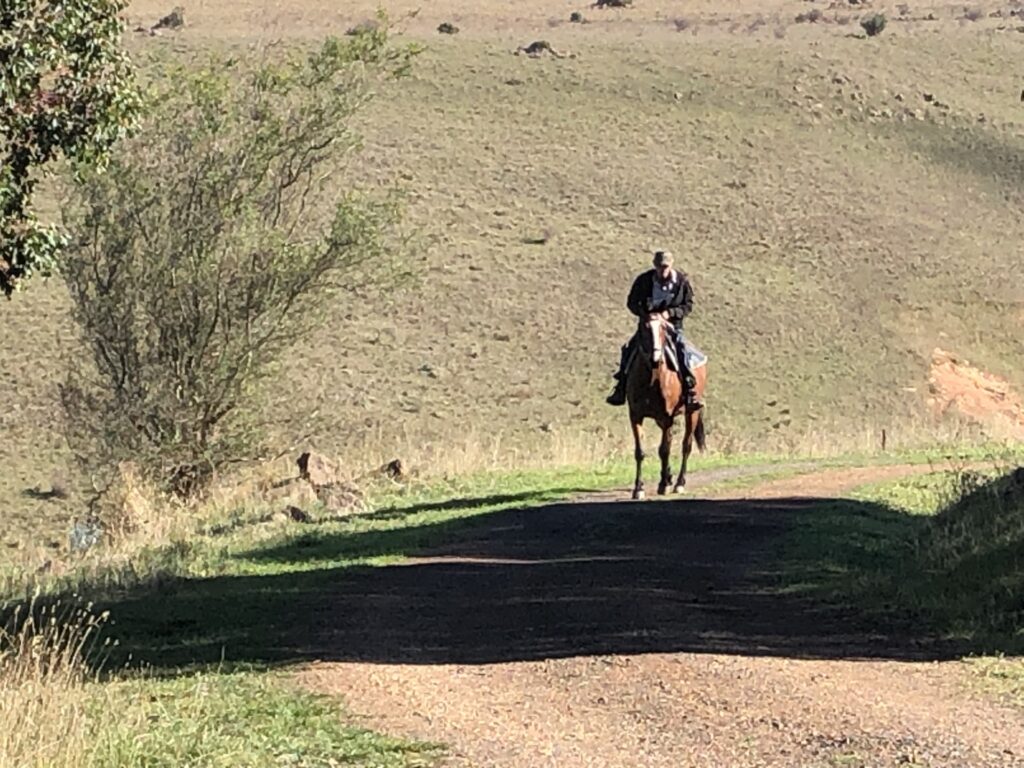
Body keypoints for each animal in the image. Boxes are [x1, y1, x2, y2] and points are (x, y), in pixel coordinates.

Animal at [622, 311, 704, 499]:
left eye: (663, 329)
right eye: (644, 328)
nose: (655, 359)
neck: (652, 379)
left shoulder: (667, 416)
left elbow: (664, 450)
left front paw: (663, 485)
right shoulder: (635, 415)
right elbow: (640, 452)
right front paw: (639, 488)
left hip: (692, 413)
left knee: (686, 445)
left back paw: (679, 483)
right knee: (671, 440)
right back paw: (668, 476)